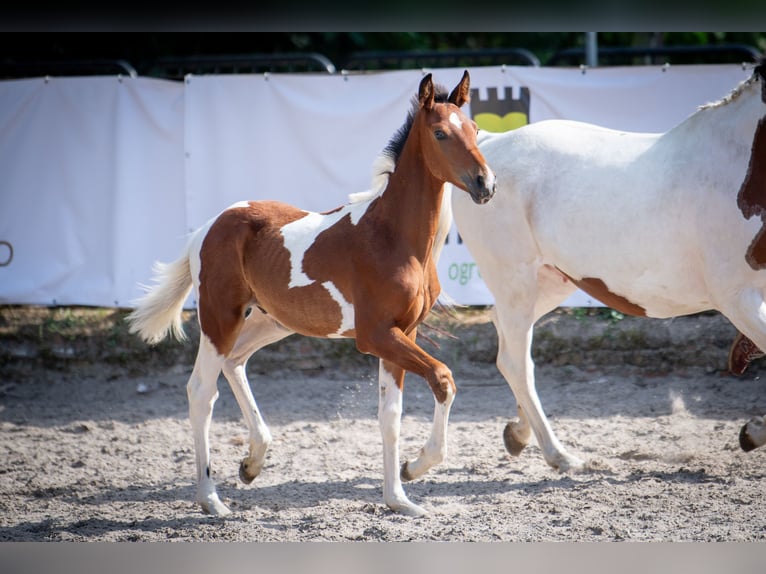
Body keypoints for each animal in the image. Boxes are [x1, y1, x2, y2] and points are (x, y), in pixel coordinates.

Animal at [126, 71, 496, 517]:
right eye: (440, 133)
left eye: (474, 129)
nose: (486, 184)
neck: (393, 237)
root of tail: (209, 226)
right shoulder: (376, 335)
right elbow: (443, 378)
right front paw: (415, 466)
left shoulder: (402, 333)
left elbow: (390, 415)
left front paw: (399, 499)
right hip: (220, 318)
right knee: (201, 391)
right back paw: (211, 500)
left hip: (272, 320)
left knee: (235, 362)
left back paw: (251, 463)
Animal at [448, 58, 766, 474]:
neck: (743, 170)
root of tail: (485, 148)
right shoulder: (738, 297)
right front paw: (752, 432)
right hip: (516, 280)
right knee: (515, 360)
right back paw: (559, 455)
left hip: (551, 282)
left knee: (508, 341)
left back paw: (519, 434)